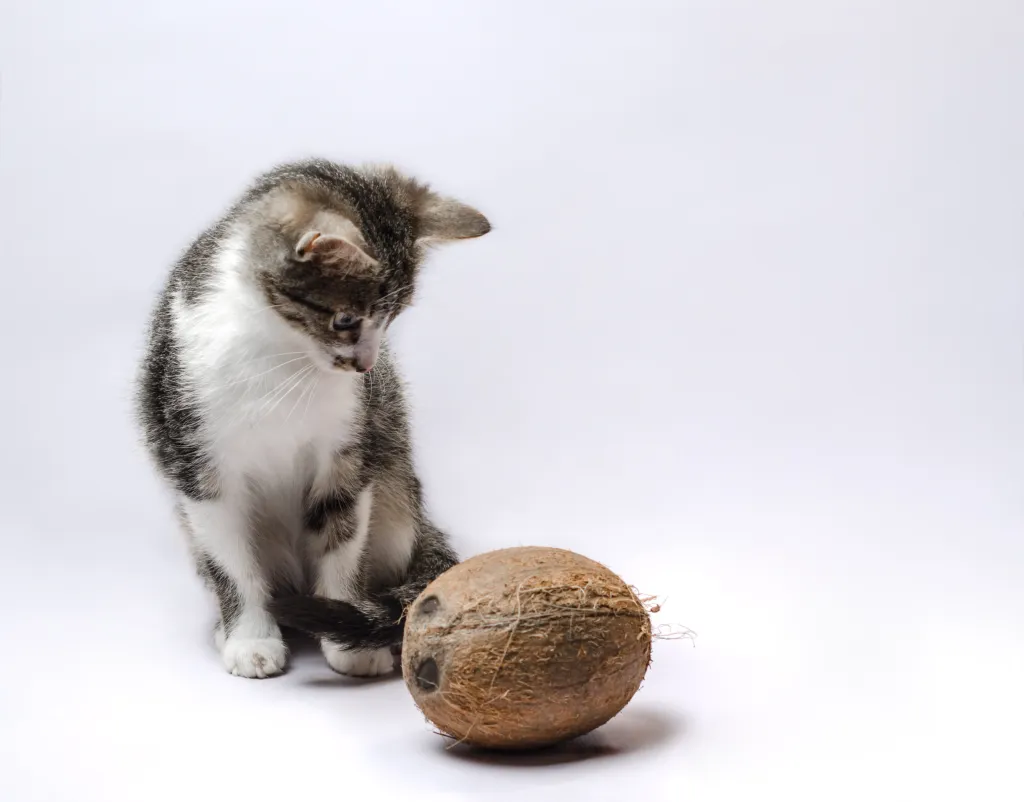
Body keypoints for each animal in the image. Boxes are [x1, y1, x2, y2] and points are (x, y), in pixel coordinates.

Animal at [135, 161, 487, 676]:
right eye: (345, 320)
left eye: (391, 318)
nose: (366, 365)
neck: (283, 355)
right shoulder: (195, 459)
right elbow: (230, 559)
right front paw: (250, 638)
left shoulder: (350, 448)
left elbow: (341, 535)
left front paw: (347, 643)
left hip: (397, 495)